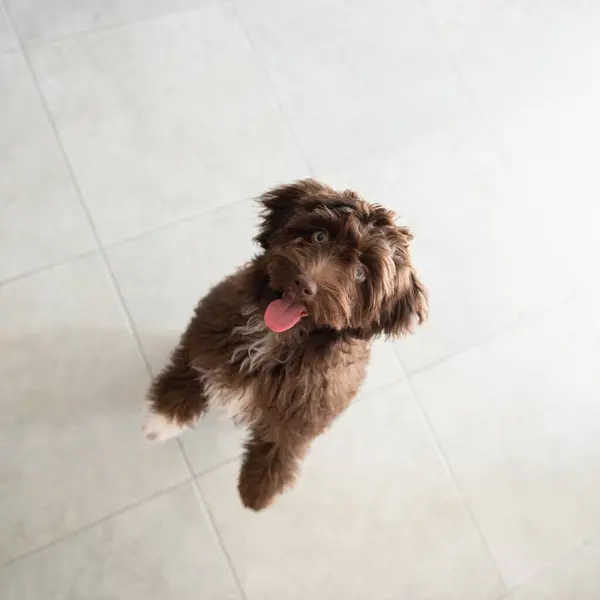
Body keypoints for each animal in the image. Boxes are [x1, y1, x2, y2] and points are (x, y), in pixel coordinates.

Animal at [144, 179, 428, 510]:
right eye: (320, 236)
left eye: (360, 273)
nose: (304, 285)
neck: (277, 338)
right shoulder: (210, 330)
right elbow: (192, 366)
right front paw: (163, 419)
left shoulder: (310, 405)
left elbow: (284, 441)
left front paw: (259, 489)